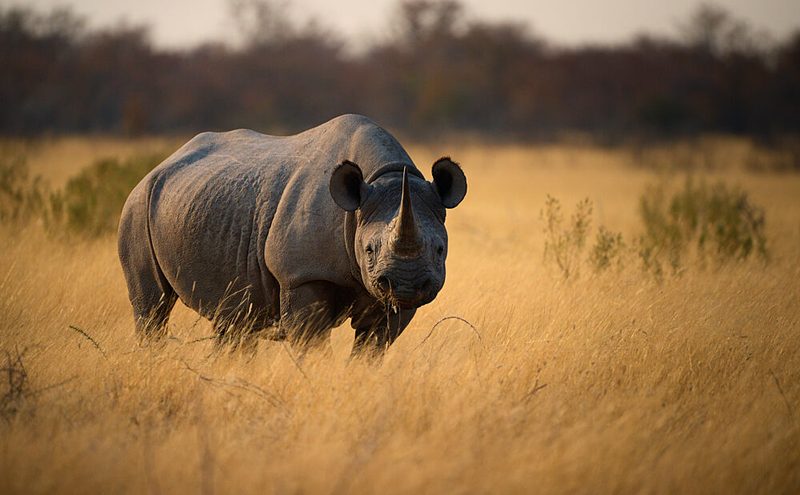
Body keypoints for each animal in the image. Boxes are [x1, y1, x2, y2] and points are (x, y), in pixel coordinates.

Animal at [118, 114, 466, 354]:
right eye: (369, 249)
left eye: (439, 250)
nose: (406, 285)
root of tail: (160, 166)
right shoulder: (301, 274)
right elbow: (312, 345)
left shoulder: (393, 298)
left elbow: (372, 348)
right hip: (136, 206)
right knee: (153, 307)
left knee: (234, 320)